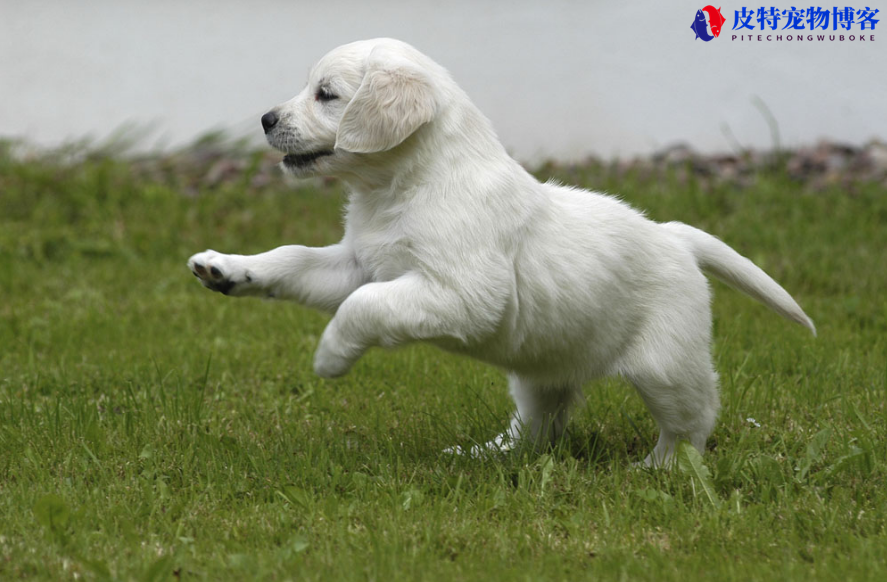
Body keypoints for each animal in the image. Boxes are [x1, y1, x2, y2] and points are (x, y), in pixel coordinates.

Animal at [189, 38, 820, 468]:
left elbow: (363, 306)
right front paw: (229, 268)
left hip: (666, 364)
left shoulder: (465, 293)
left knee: (694, 421)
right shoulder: (358, 264)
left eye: (326, 94)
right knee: (540, 427)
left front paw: (330, 356)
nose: (266, 119)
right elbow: (294, 258)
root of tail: (673, 234)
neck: (404, 186)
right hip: (543, 368)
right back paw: (483, 455)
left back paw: (660, 469)